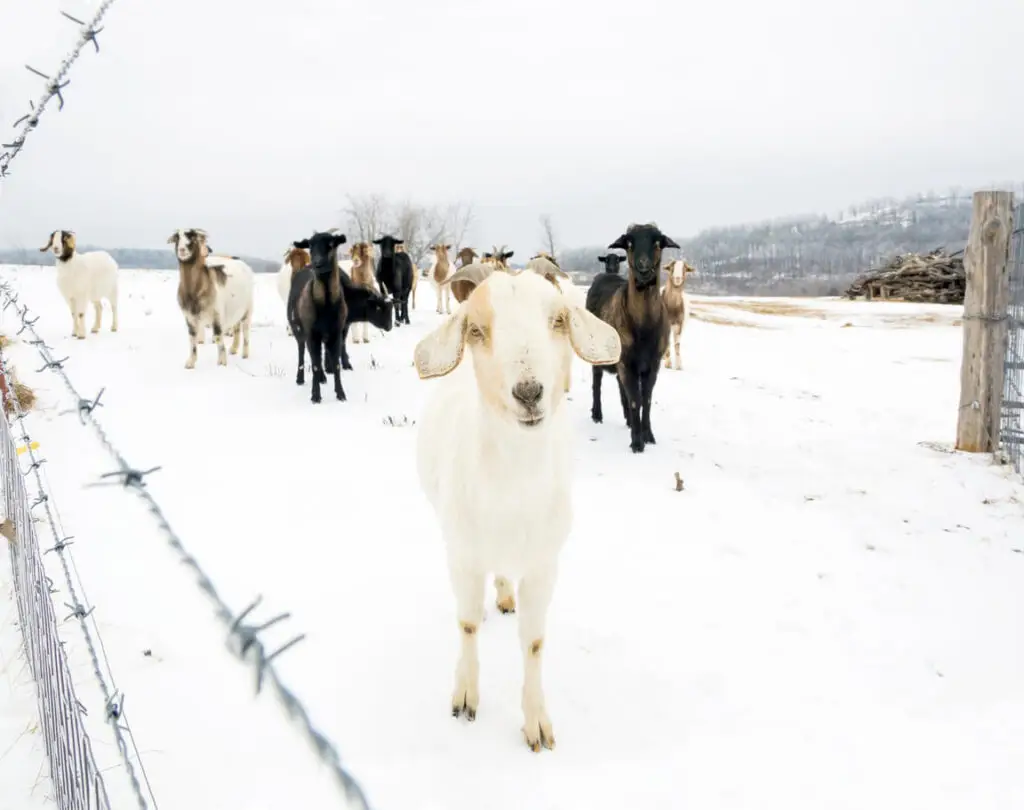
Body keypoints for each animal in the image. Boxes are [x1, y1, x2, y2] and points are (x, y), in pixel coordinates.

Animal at [168, 229, 254, 369]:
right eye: (177, 238)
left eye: (192, 237)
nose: (182, 249)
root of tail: (242, 263)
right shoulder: (189, 317)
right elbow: (192, 339)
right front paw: (191, 362)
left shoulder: (217, 315)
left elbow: (218, 336)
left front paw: (222, 362)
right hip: (236, 309)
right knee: (236, 329)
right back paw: (233, 349)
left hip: (248, 310)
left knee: (245, 330)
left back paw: (245, 354)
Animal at [286, 231, 349, 403]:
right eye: (310, 246)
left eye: (331, 244)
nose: (317, 263)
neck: (325, 304)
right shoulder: (311, 333)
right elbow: (314, 364)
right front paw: (315, 396)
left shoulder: (336, 333)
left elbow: (336, 365)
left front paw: (341, 394)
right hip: (299, 330)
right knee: (302, 352)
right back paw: (300, 378)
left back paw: (322, 377)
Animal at [413, 270, 621, 752]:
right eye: (476, 329)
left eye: (558, 319)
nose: (529, 392)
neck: (511, 491)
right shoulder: (463, 556)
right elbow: (468, 624)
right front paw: (465, 697)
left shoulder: (544, 565)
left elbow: (534, 642)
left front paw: (537, 723)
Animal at [586, 222, 679, 453]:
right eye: (629, 242)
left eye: (658, 242)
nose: (643, 267)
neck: (644, 327)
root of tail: (606, 275)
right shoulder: (627, 362)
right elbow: (636, 400)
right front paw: (637, 443)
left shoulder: (652, 364)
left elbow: (645, 399)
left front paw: (648, 435)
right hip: (595, 349)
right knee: (596, 382)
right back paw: (597, 414)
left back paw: (628, 419)